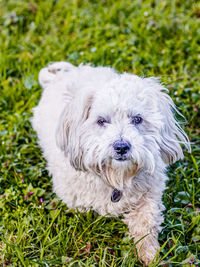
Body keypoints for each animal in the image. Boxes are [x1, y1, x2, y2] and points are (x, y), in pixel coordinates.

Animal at [31, 62, 191, 266]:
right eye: (101, 121)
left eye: (137, 119)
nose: (121, 147)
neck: (116, 177)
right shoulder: (79, 205)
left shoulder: (150, 197)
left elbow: (146, 223)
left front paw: (150, 254)